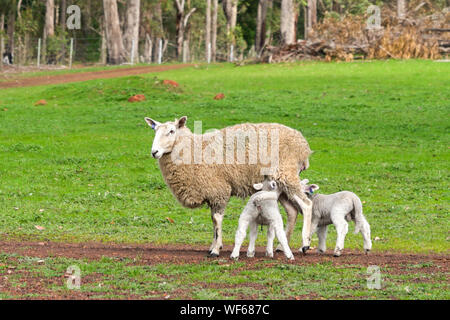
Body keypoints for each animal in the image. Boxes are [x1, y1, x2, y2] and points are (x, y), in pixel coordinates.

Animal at [144, 115, 312, 258]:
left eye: (172, 131)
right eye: (155, 130)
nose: (154, 152)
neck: (194, 150)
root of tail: (303, 145)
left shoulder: (219, 190)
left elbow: (217, 219)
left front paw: (216, 250)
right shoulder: (212, 193)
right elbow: (213, 221)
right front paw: (213, 246)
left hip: (287, 174)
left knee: (306, 204)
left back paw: (305, 244)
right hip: (278, 184)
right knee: (292, 211)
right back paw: (281, 246)